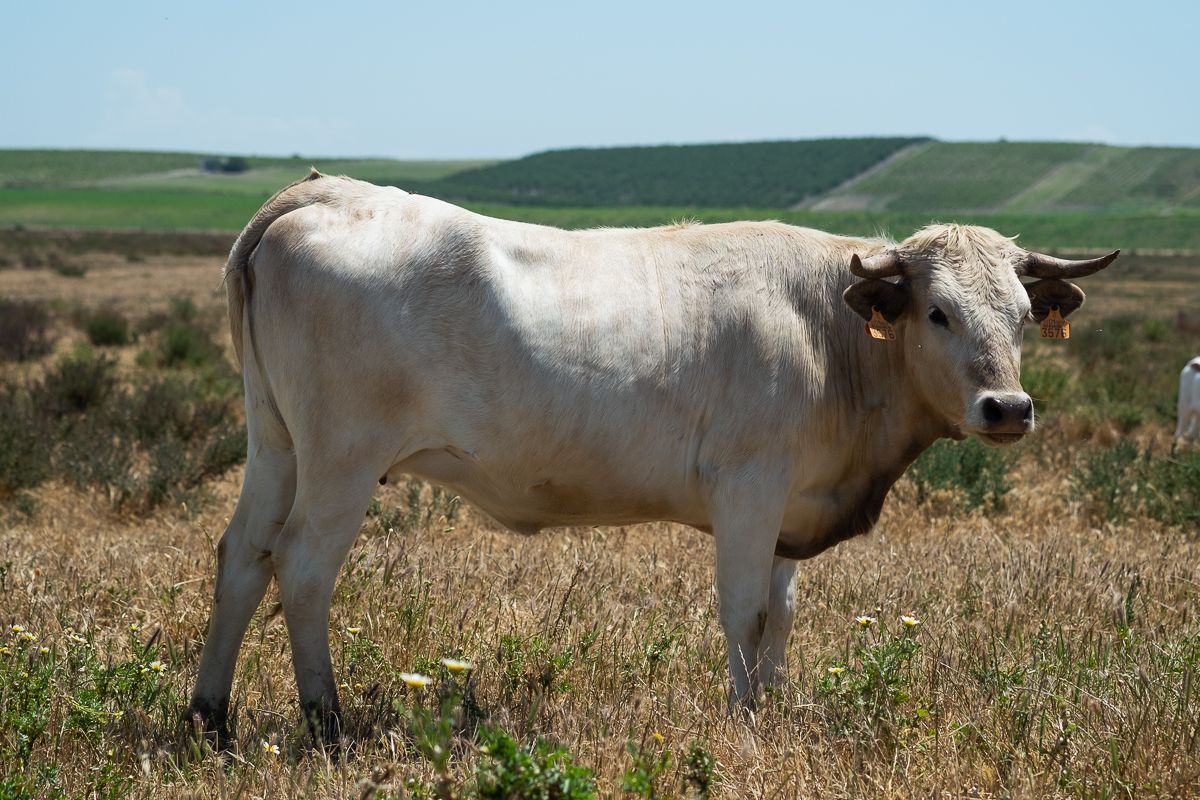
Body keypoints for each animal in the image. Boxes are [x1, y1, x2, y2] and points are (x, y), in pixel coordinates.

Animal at [188, 170, 1117, 742]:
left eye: (1022, 316)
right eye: (937, 312)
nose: (1008, 409)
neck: (831, 334)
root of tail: (321, 193)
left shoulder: (790, 504)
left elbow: (783, 614)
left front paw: (774, 708)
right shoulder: (749, 488)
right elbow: (744, 611)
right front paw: (747, 723)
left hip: (276, 443)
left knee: (243, 556)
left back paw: (210, 717)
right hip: (342, 459)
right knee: (303, 566)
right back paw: (326, 723)